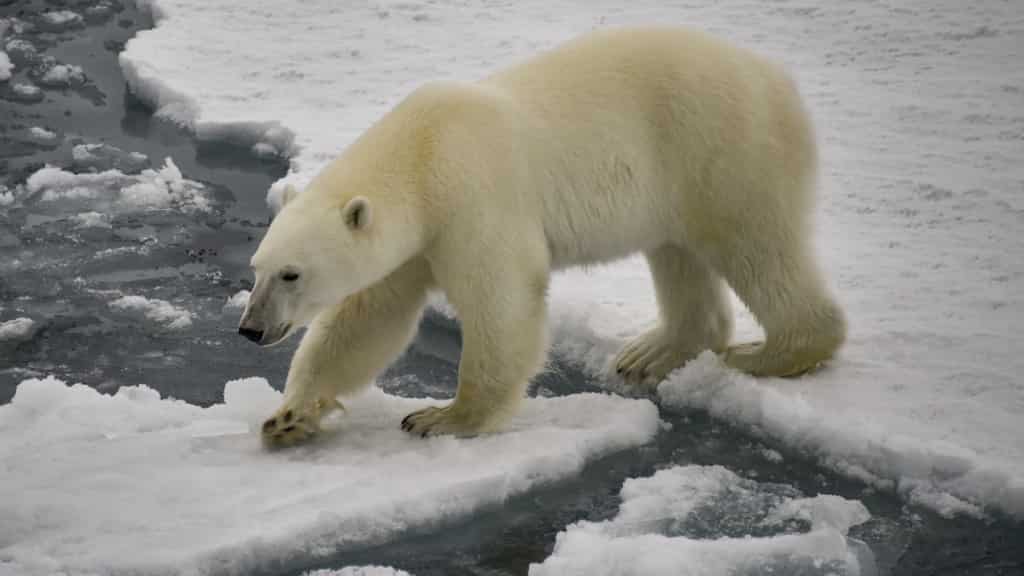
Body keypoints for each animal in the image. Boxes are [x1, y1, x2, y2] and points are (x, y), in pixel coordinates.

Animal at [238, 25, 847, 445]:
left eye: (292, 274)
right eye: (257, 269)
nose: (250, 329)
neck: (422, 154)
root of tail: (777, 79)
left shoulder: (473, 201)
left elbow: (502, 302)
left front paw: (442, 417)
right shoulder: (416, 241)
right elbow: (368, 318)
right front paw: (288, 416)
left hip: (722, 147)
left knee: (756, 245)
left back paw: (767, 353)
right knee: (679, 255)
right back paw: (650, 353)